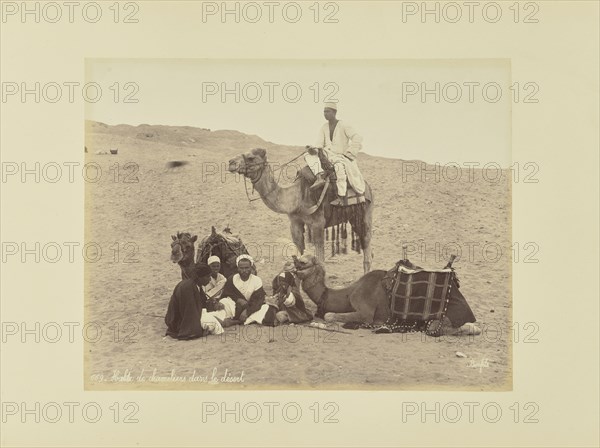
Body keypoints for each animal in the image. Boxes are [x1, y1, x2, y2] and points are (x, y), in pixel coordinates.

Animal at [230, 148, 376, 272]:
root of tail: (367, 186)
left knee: (367, 245)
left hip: (365, 213)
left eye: (251, 157)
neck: (296, 197)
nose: (231, 162)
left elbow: (321, 262)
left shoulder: (318, 224)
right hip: (353, 217)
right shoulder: (295, 222)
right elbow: (298, 257)